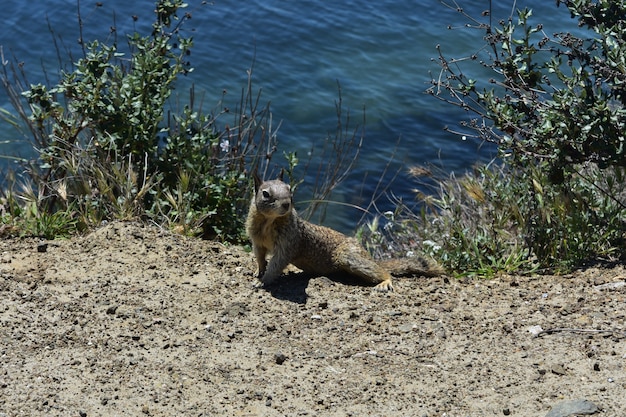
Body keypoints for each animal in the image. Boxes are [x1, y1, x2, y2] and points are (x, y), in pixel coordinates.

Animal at [241, 174, 442, 290]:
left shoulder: (287, 242)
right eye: (266, 194)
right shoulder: (257, 240)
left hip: (350, 257)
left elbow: (277, 263)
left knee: (383, 271)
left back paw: (385, 282)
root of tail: (366, 253)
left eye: (290, 190)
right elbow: (260, 257)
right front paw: (258, 271)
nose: (286, 204)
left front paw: (263, 281)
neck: (269, 221)